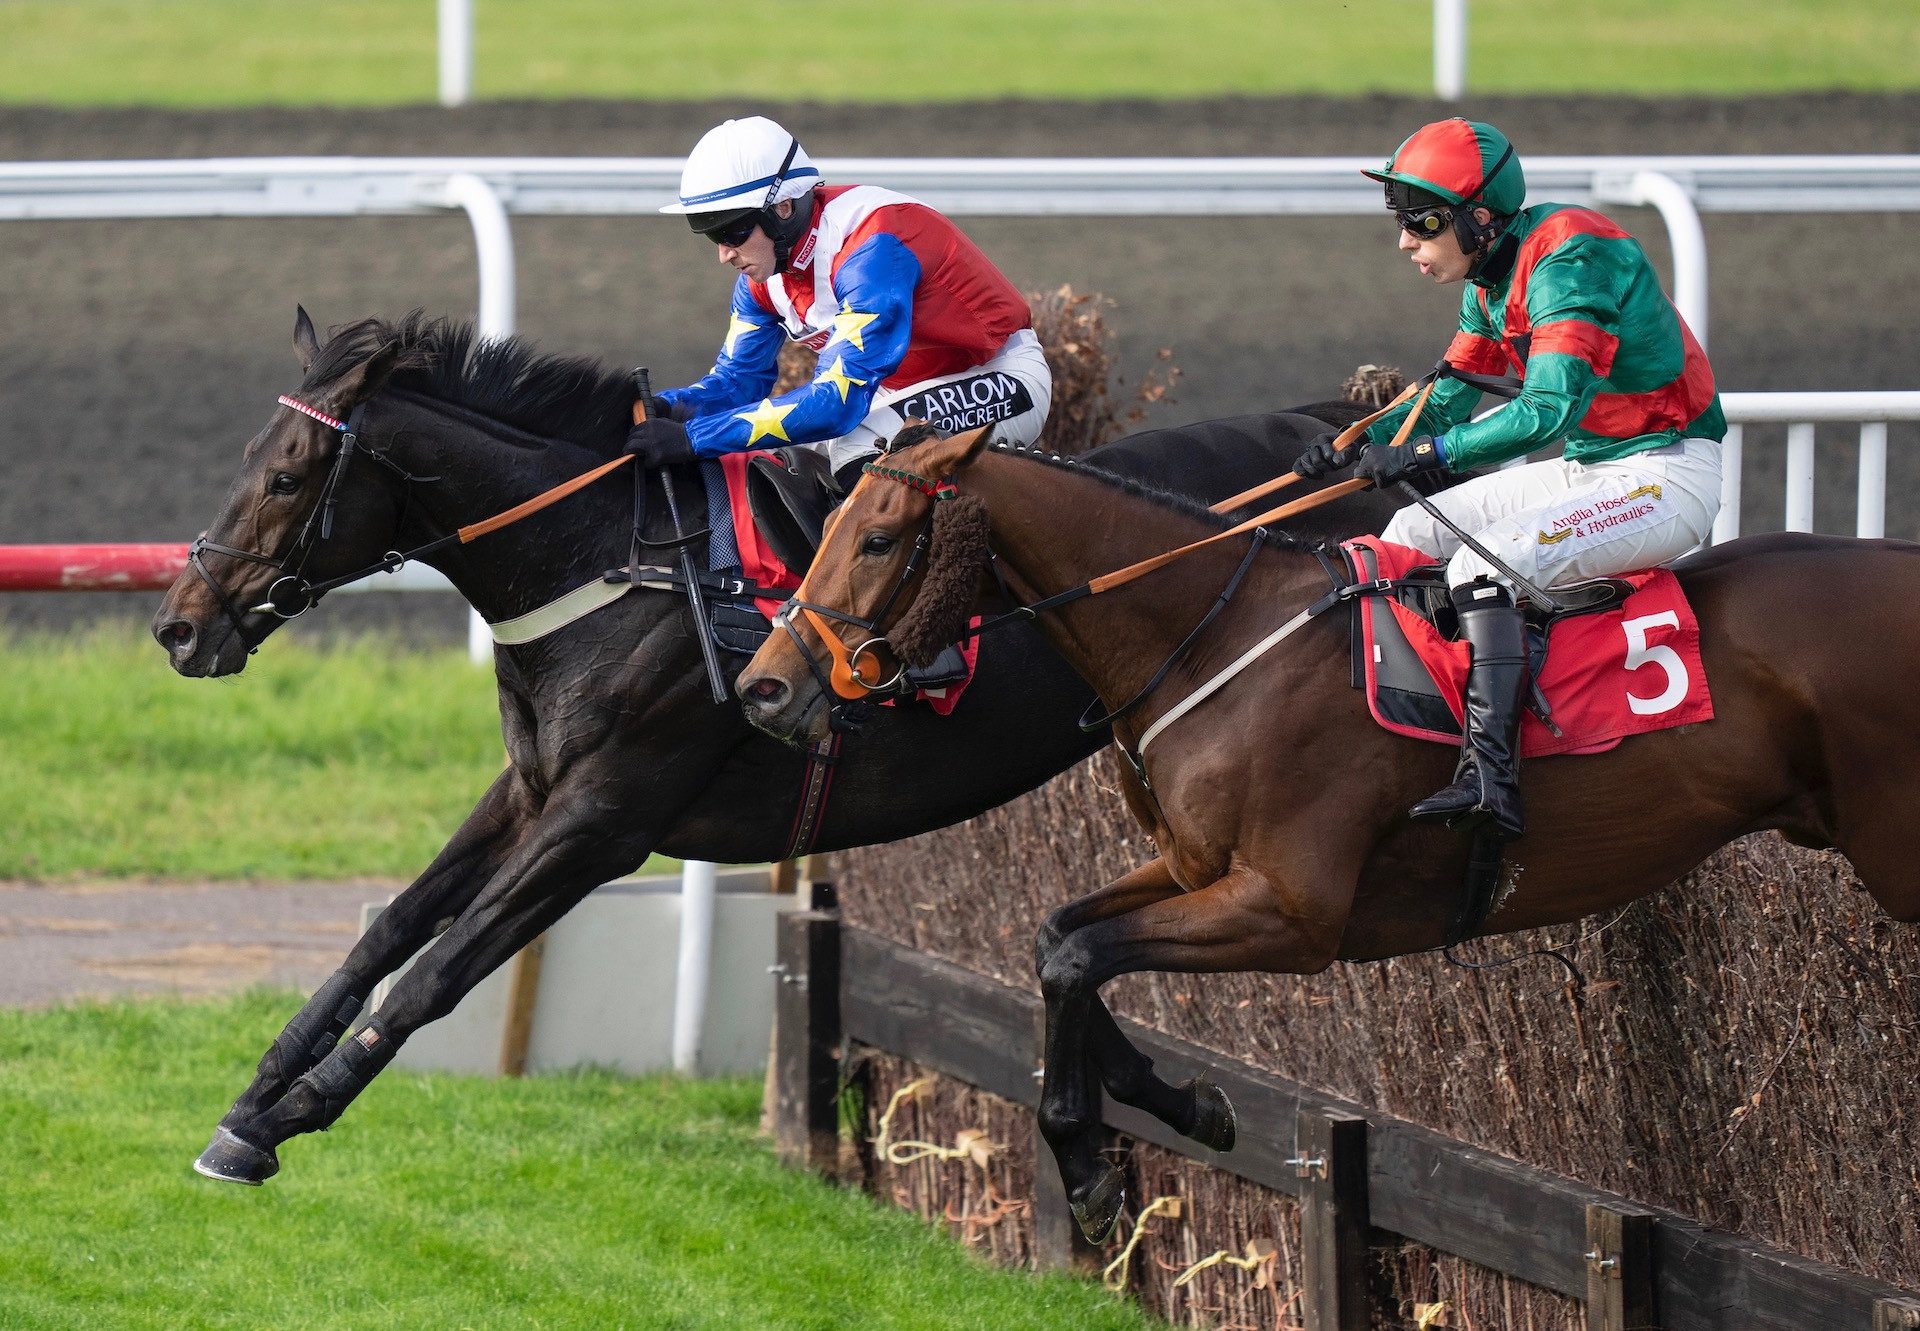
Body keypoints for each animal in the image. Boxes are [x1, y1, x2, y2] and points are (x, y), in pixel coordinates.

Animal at [149, 309, 1382, 1183]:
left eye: (285, 475)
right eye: (251, 456)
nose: (178, 625)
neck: (616, 568)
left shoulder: (603, 822)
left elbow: (435, 973)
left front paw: (288, 1118)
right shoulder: (531, 790)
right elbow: (390, 929)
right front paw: (255, 1097)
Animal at [737, 428, 1920, 1244]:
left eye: (879, 538)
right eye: (827, 532)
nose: (764, 687)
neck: (1217, 634)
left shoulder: (1294, 911)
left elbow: (1078, 959)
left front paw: (1088, 1165)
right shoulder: (1196, 867)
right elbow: (1057, 940)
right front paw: (1185, 1101)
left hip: (1894, 848)